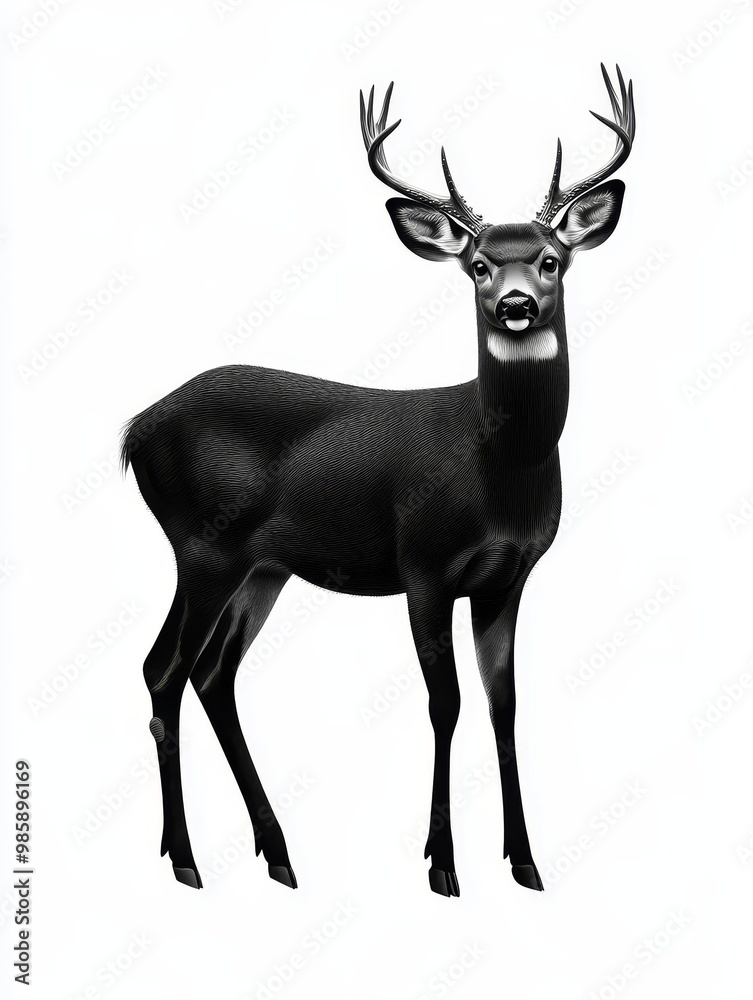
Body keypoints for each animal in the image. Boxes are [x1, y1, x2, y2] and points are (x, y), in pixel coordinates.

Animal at [121, 64, 635, 897]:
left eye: (552, 259)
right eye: (478, 264)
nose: (515, 305)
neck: (497, 472)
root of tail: (136, 428)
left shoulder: (506, 579)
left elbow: (503, 704)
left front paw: (525, 863)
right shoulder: (423, 564)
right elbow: (444, 703)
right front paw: (442, 865)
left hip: (262, 567)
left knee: (212, 675)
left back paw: (278, 855)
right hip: (201, 548)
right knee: (163, 670)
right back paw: (188, 861)